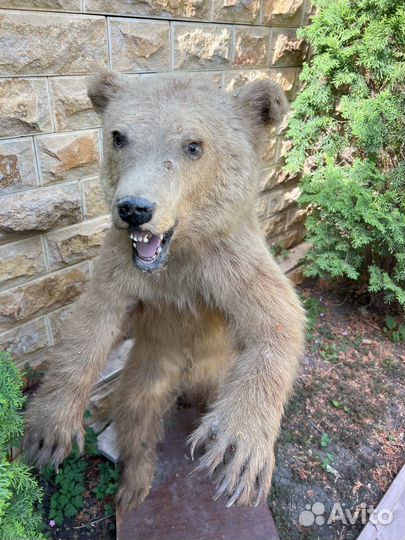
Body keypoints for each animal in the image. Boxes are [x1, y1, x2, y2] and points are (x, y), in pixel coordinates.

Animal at [23, 71, 304, 510]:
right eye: (119, 136)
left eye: (193, 145)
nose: (135, 208)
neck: (175, 257)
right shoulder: (123, 269)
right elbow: (91, 324)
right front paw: (49, 432)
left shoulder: (226, 264)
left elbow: (279, 317)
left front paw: (237, 450)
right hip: (150, 365)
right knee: (137, 414)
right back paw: (133, 485)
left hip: (220, 369)